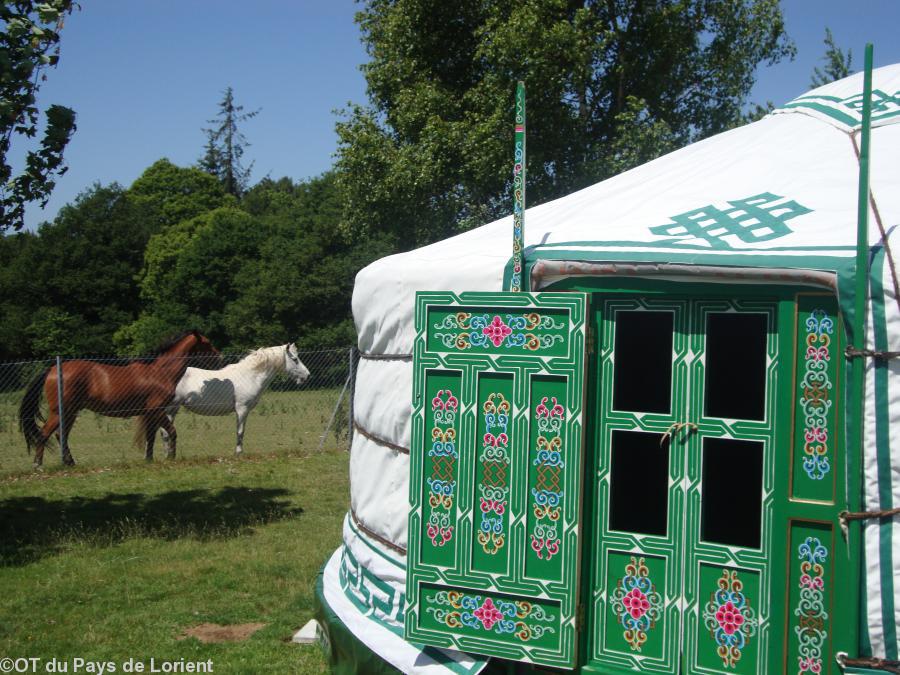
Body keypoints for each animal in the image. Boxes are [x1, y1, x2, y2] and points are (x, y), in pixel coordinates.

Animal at [20, 330, 221, 468]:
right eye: (207, 343)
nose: (220, 357)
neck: (159, 372)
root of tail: (53, 369)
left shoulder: (150, 413)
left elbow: (150, 437)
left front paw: (149, 459)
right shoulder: (156, 410)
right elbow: (171, 431)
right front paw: (171, 457)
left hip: (70, 412)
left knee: (61, 436)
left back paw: (70, 463)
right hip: (59, 412)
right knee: (44, 434)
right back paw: (38, 465)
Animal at [162, 344, 312, 460]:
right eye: (295, 359)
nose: (307, 375)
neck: (249, 376)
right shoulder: (242, 409)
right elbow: (240, 431)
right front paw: (239, 453)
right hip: (170, 409)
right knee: (166, 432)